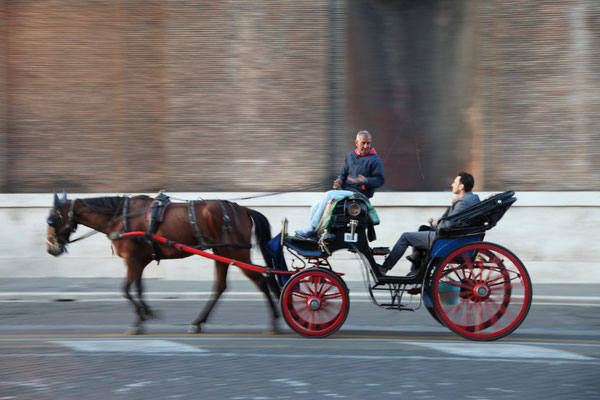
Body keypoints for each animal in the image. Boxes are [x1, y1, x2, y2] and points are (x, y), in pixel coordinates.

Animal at [45, 192, 280, 336]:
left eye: (51, 220)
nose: (50, 249)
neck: (121, 217)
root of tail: (243, 209)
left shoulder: (133, 259)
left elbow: (129, 290)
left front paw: (140, 319)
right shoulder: (139, 261)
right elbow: (135, 289)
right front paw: (145, 313)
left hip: (236, 252)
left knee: (262, 280)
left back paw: (274, 321)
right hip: (222, 252)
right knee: (220, 286)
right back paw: (197, 322)